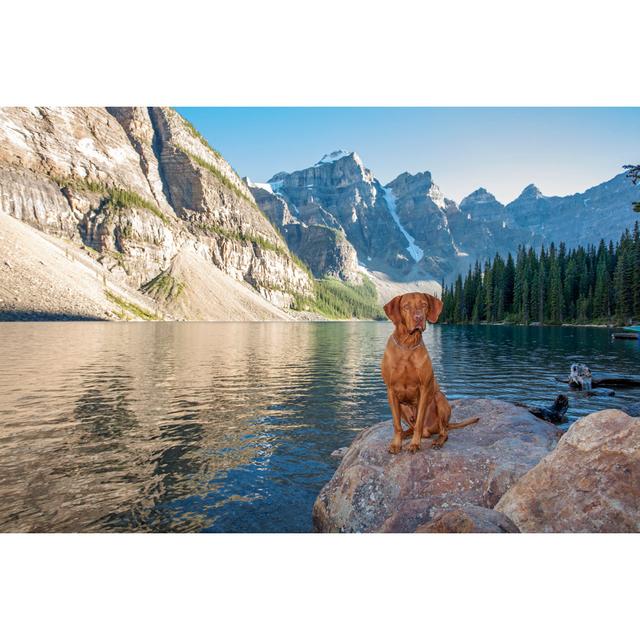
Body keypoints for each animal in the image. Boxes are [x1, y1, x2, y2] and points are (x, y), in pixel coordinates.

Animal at [380, 292, 476, 452]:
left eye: (424, 305)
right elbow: (396, 424)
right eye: (406, 306)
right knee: (410, 427)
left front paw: (414, 444)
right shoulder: (391, 391)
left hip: (439, 399)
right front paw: (396, 444)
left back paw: (437, 441)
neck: (407, 345)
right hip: (403, 407)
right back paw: (406, 434)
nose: (418, 317)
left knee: (443, 431)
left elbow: (419, 421)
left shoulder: (424, 389)